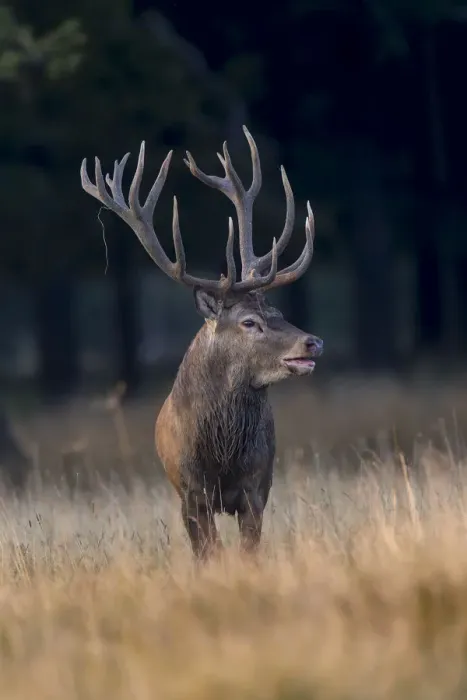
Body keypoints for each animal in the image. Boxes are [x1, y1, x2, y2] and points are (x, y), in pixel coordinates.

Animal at [80, 126, 323, 558]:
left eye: (278, 311)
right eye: (249, 322)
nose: (312, 342)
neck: (221, 458)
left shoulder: (256, 490)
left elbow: (247, 554)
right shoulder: (190, 495)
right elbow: (208, 555)